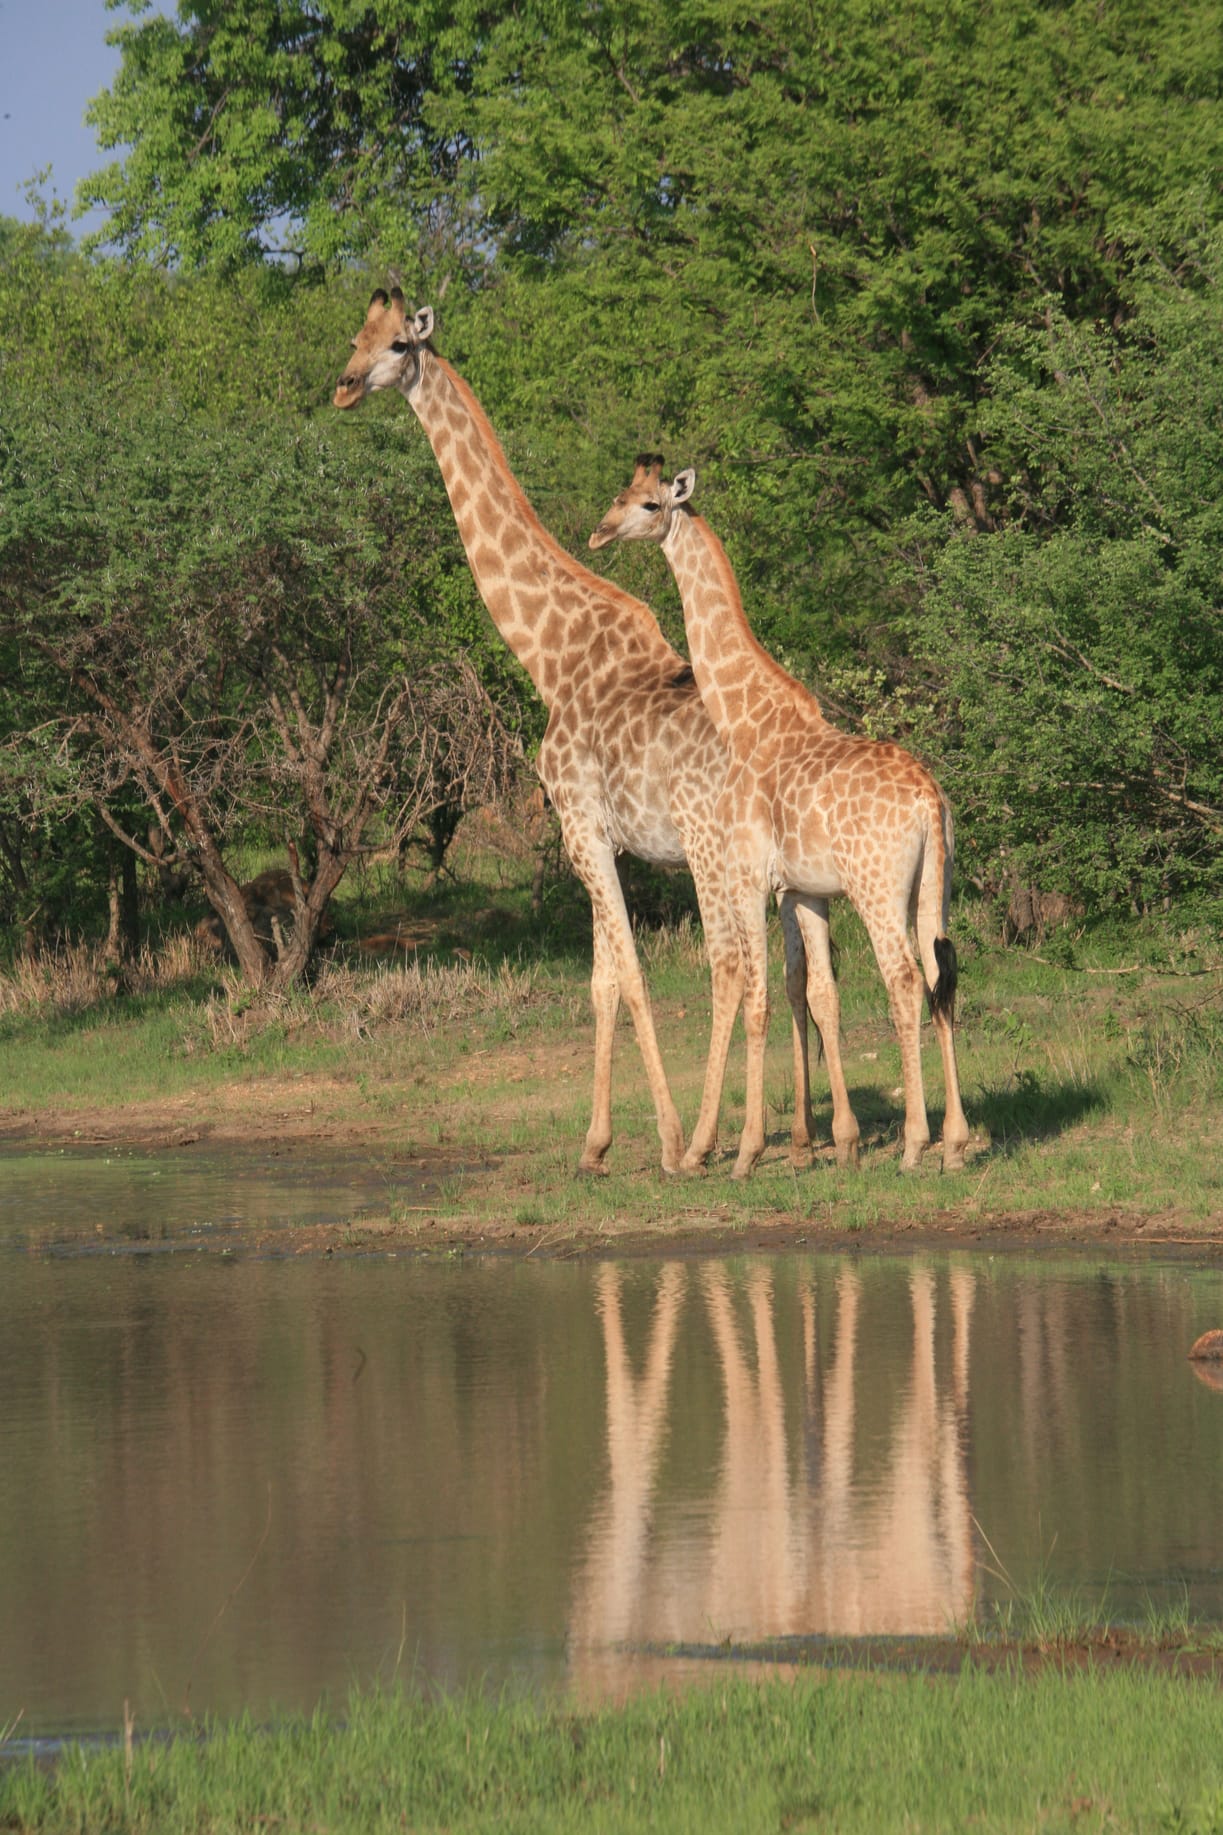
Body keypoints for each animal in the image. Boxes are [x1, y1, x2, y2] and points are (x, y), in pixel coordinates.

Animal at [328, 286, 819, 1174]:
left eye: (395, 346)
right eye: (355, 336)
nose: (344, 387)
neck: (549, 655)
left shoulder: (579, 824)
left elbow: (629, 973)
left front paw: (664, 1142)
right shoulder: (596, 834)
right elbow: (600, 981)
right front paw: (595, 1144)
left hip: (715, 851)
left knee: (738, 966)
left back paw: (716, 1142)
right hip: (779, 870)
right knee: (803, 970)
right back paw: (802, 1137)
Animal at [587, 456, 969, 1174]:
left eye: (650, 504)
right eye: (619, 494)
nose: (599, 533)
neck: (744, 719)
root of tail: (930, 801)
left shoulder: (745, 875)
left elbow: (756, 996)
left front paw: (743, 1153)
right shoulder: (804, 889)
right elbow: (813, 992)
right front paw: (829, 1143)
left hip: (877, 889)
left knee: (905, 980)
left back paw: (914, 1144)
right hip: (931, 886)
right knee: (941, 974)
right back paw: (956, 1142)